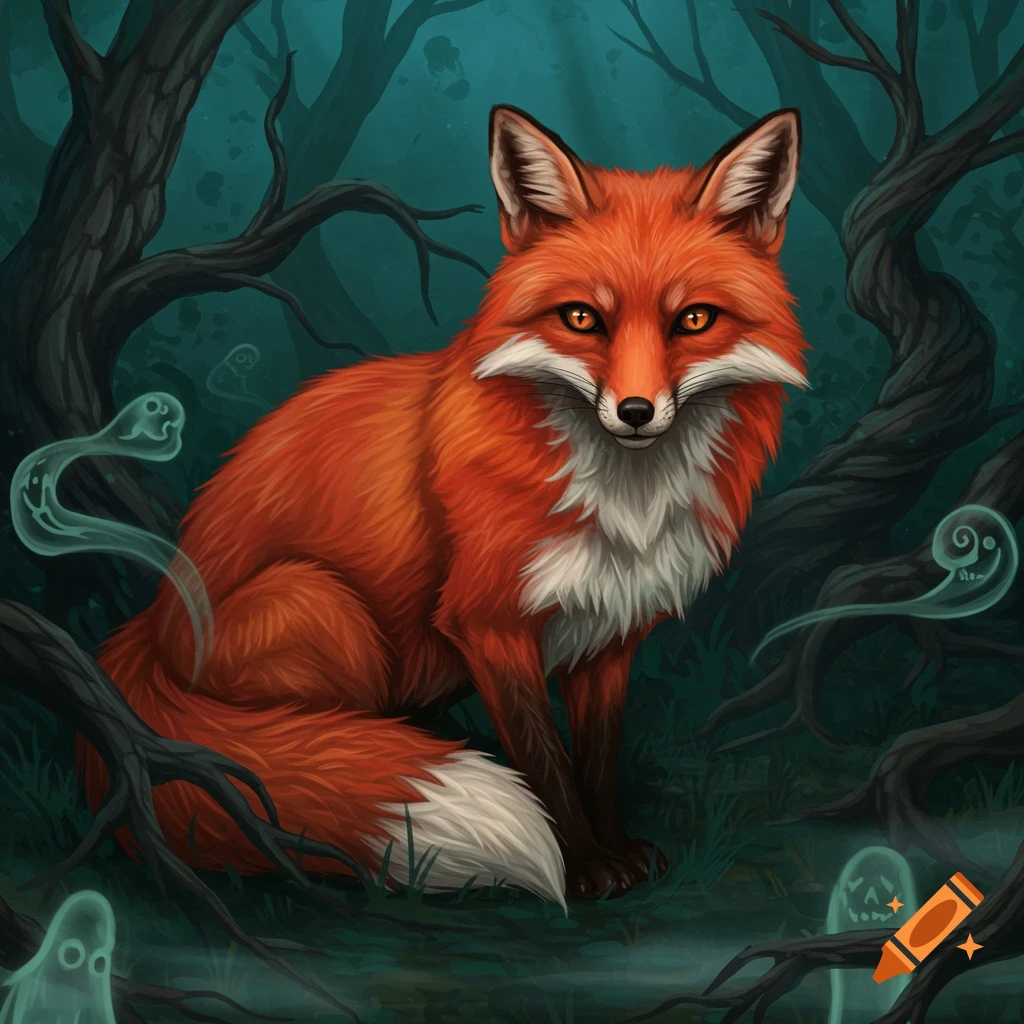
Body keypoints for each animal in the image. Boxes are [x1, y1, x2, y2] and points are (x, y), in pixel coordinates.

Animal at [79, 105, 808, 908]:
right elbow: (545, 765)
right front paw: (584, 867)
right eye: (583, 318)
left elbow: (596, 762)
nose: (637, 412)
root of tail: (152, 627)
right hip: (322, 603)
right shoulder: (488, 624)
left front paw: (616, 850)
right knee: (307, 737)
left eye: (695, 320)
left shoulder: (608, 629)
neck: (627, 504)